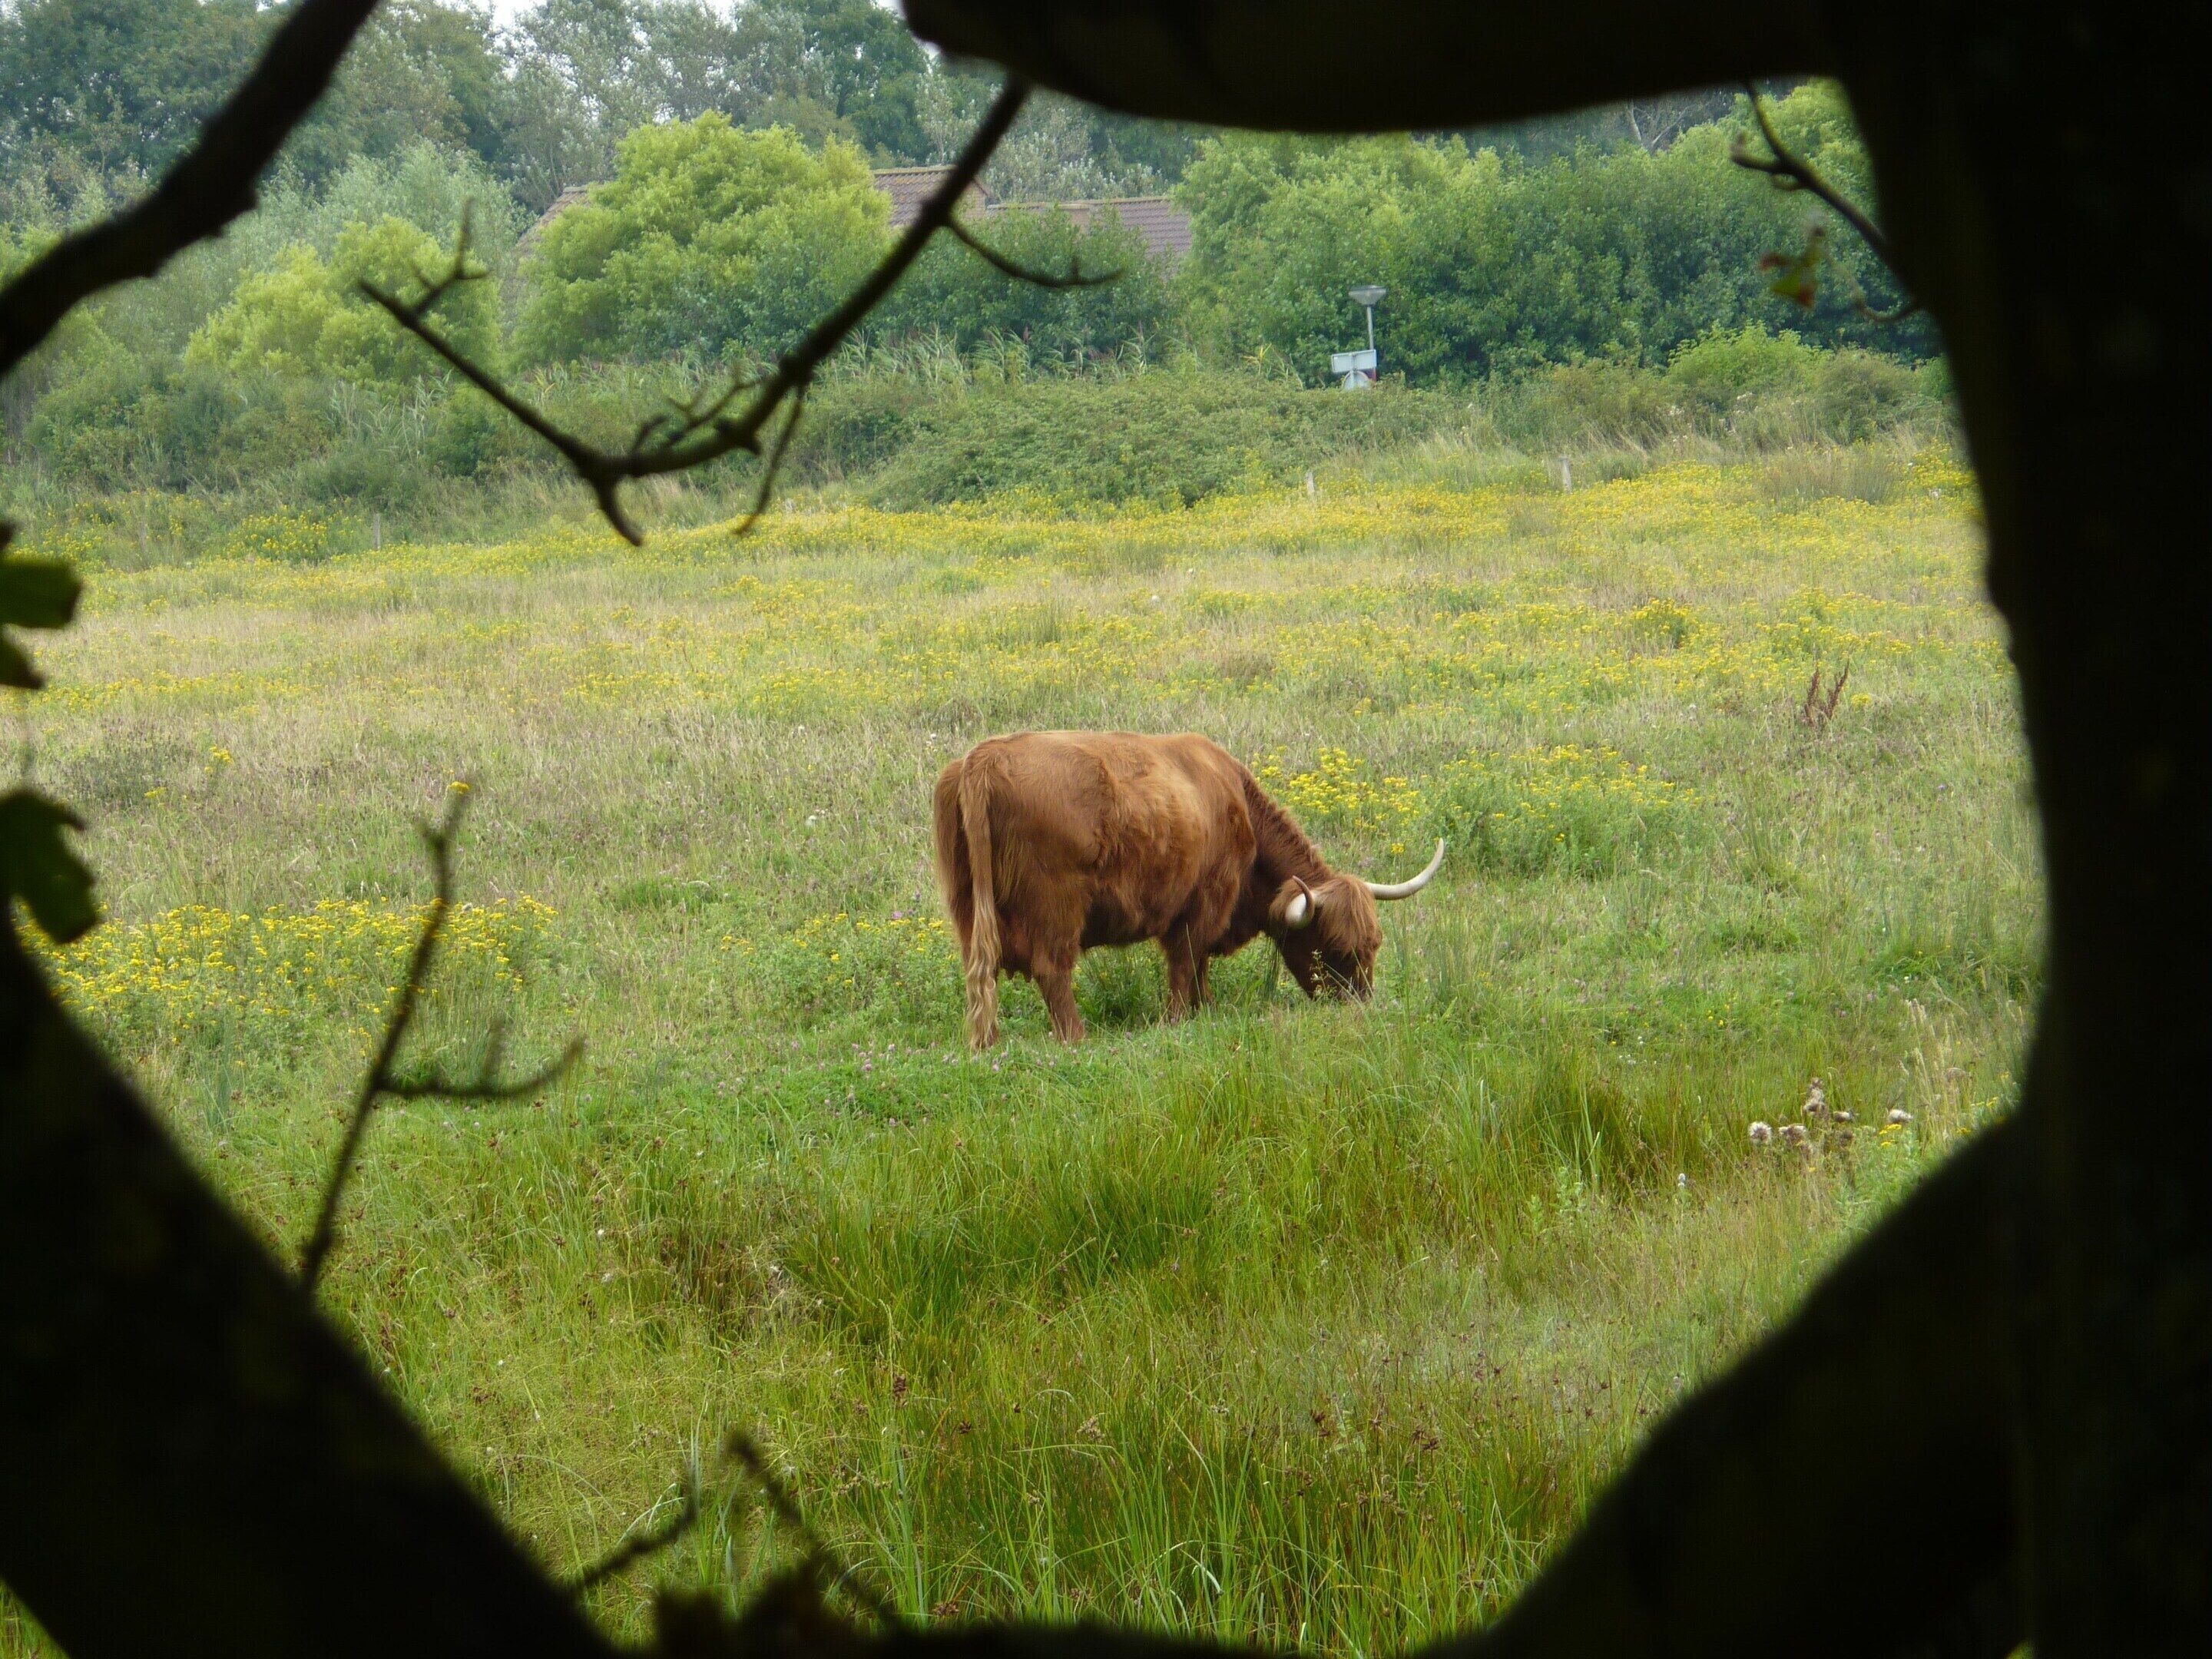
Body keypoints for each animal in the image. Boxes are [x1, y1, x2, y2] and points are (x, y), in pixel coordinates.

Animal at [932, 730, 1445, 1048]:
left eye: (1373, 945)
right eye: (1331, 949)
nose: (1359, 1008)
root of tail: (984, 759)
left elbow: (1196, 969)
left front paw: (1206, 1010)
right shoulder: (1203, 905)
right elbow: (1187, 964)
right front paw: (1181, 1019)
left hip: (968, 909)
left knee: (981, 972)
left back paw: (987, 1043)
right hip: (1058, 910)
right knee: (1052, 970)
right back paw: (1076, 1038)